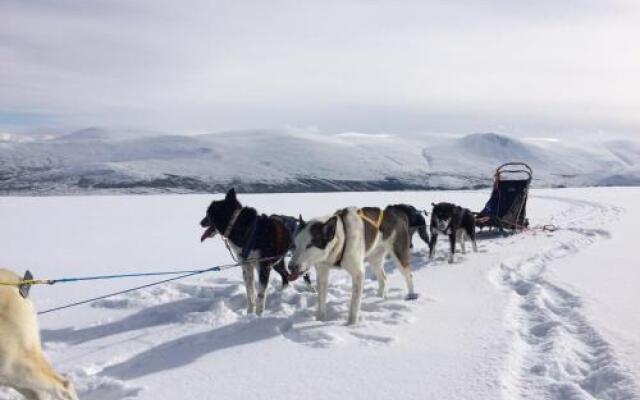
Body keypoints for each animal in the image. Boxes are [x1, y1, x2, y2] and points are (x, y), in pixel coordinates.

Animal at [288, 206, 418, 324]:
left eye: (310, 245)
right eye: (294, 245)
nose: (290, 266)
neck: (341, 238)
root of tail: (397, 215)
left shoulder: (358, 274)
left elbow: (354, 304)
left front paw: (351, 324)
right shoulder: (322, 272)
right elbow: (321, 301)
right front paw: (319, 320)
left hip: (399, 255)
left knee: (409, 275)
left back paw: (411, 296)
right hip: (374, 259)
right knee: (383, 278)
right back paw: (378, 297)